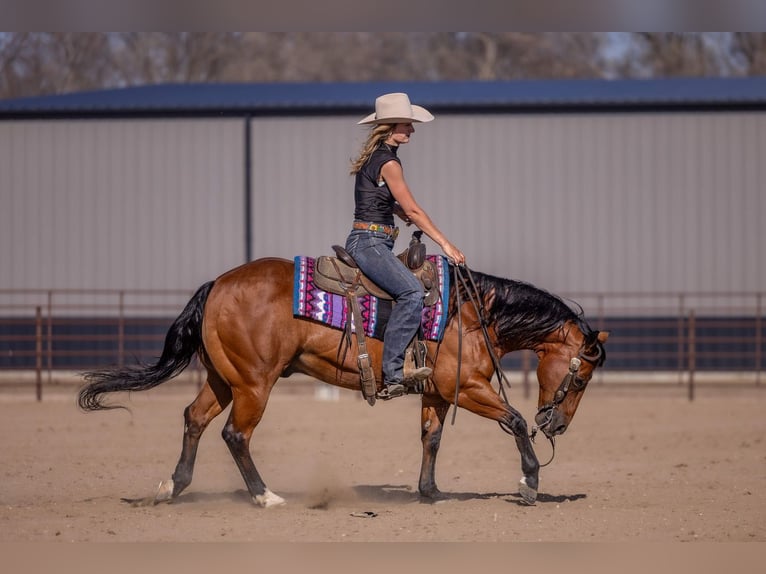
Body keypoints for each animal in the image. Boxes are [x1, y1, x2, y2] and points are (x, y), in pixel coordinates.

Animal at [78, 256, 608, 507]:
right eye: (581, 377)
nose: (556, 425)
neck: (472, 313)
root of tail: (217, 285)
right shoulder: (471, 389)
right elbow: (515, 421)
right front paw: (530, 482)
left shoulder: (437, 393)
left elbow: (431, 438)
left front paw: (430, 492)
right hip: (254, 385)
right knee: (235, 434)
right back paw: (265, 496)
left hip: (223, 378)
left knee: (194, 418)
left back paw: (173, 486)